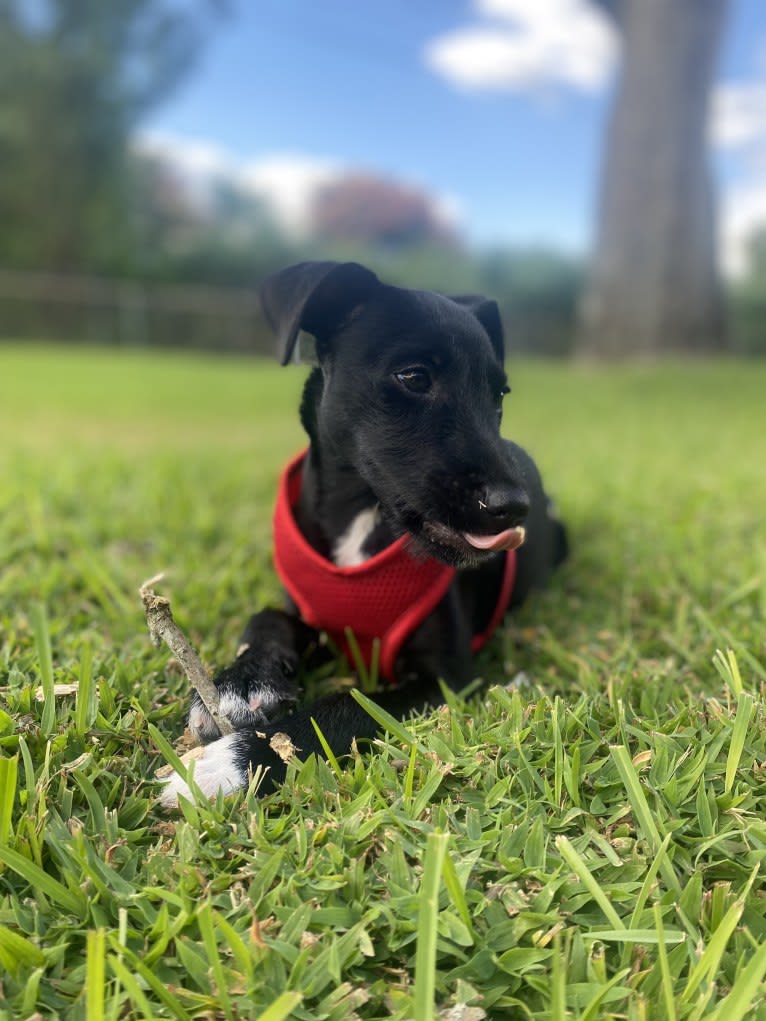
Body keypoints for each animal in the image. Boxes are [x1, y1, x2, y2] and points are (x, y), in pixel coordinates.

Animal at [160, 261, 571, 804]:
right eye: (414, 376)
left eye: (497, 395)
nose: (512, 507)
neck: (362, 517)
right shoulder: (308, 611)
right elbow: (266, 617)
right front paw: (240, 683)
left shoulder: (445, 681)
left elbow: (346, 706)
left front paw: (231, 762)